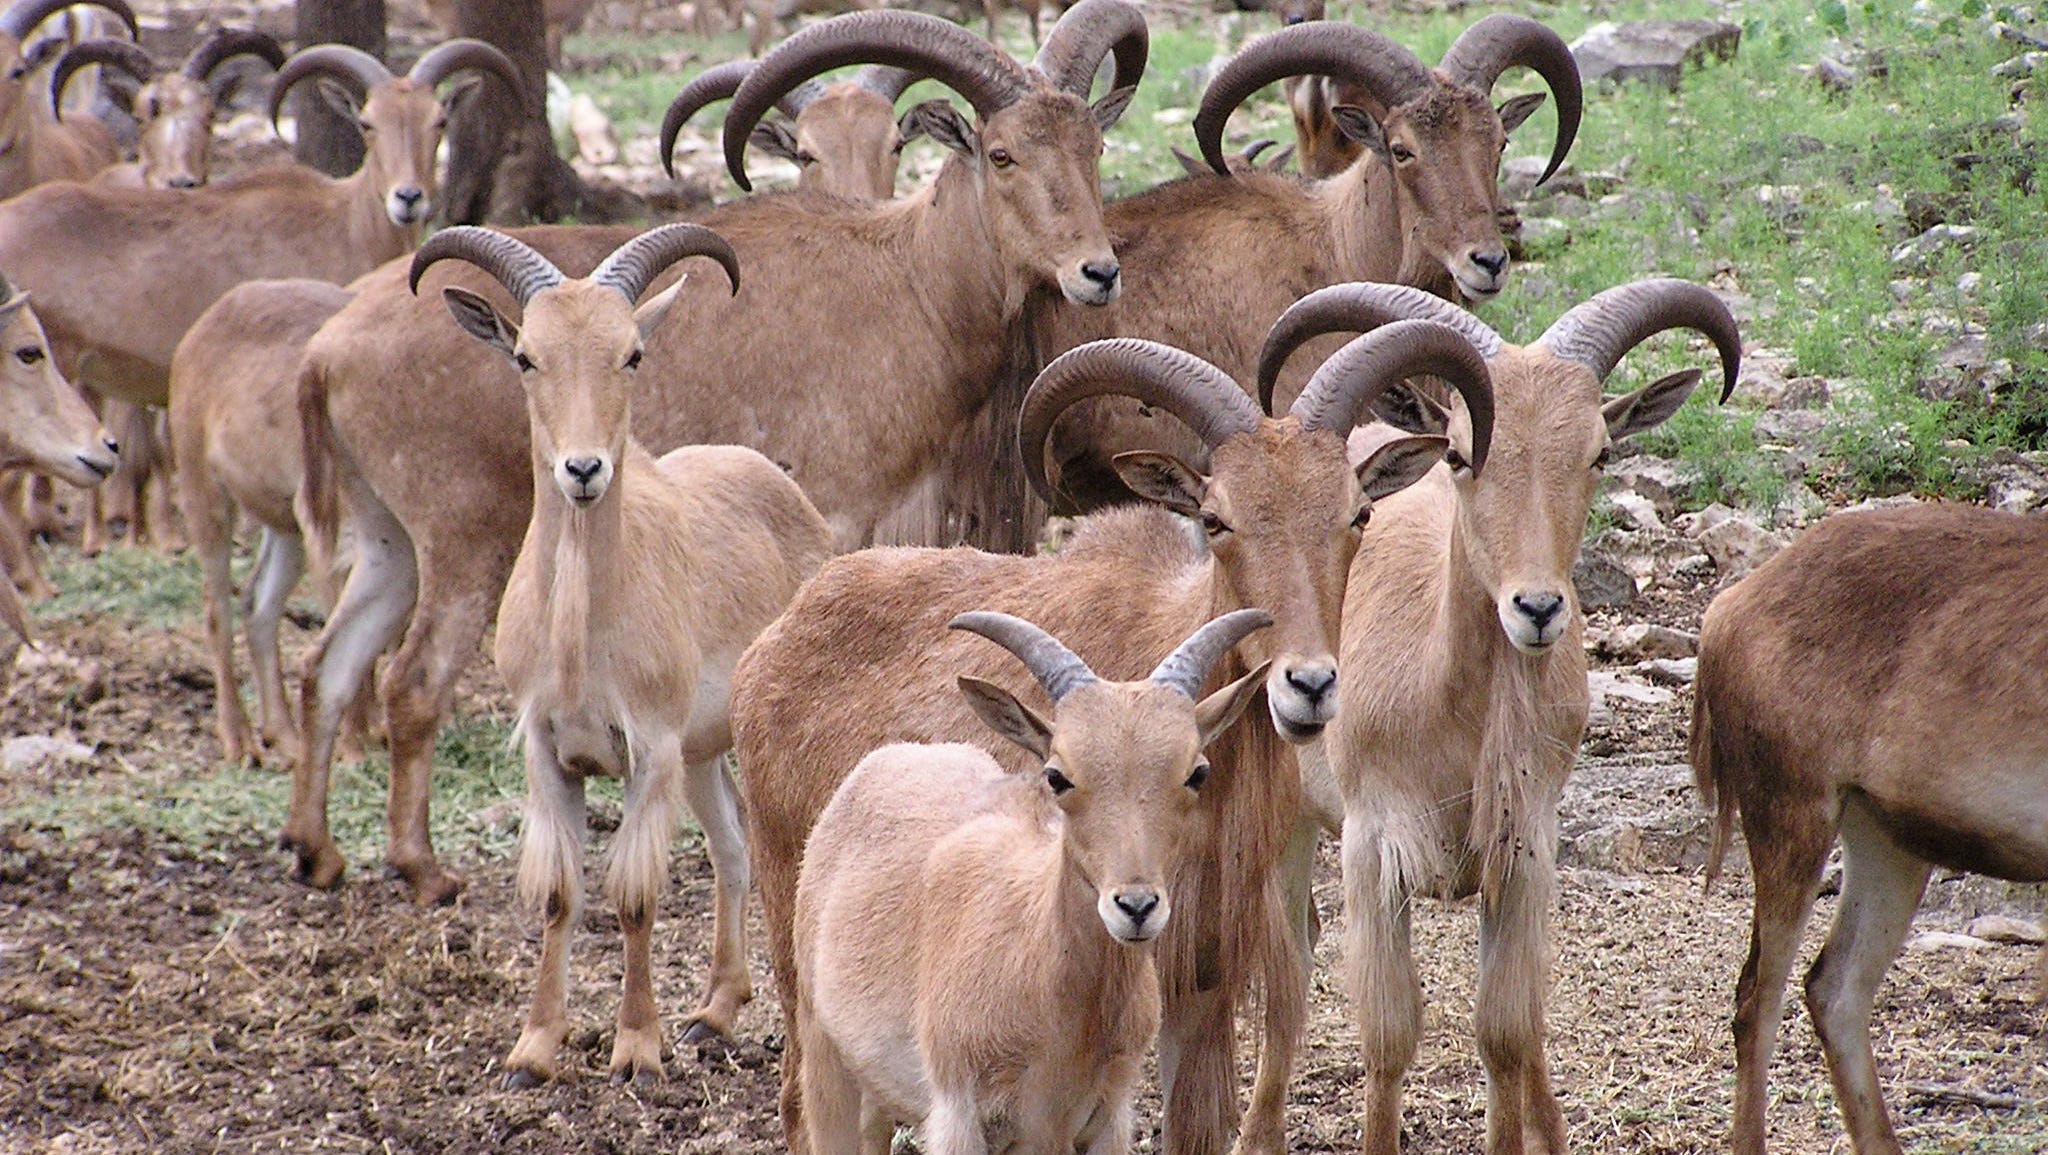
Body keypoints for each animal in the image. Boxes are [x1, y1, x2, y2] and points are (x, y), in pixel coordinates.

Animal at [408, 224, 833, 1083]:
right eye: (526, 356)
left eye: (632, 353)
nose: (583, 469)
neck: (579, 631)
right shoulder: (547, 748)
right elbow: (559, 894)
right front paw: (535, 1048)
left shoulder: (650, 746)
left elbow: (635, 898)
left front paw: (636, 1048)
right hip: (702, 754)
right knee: (732, 844)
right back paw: (713, 1011)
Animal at [796, 609, 1273, 1155]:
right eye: (1057, 775)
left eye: (1196, 772)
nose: (1135, 907)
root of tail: (883, 761)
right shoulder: (960, 1115)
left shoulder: (1104, 1116)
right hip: (823, 1053)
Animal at [1255, 279, 1739, 1155]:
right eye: (1457, 454)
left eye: (1599, 453)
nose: (1538, 608)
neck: (1449, 706)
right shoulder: (1373, 847)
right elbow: (1389, 1036)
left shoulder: (1524, 851)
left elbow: (1506, 1031)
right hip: (1287, 814)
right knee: (1287, 976)